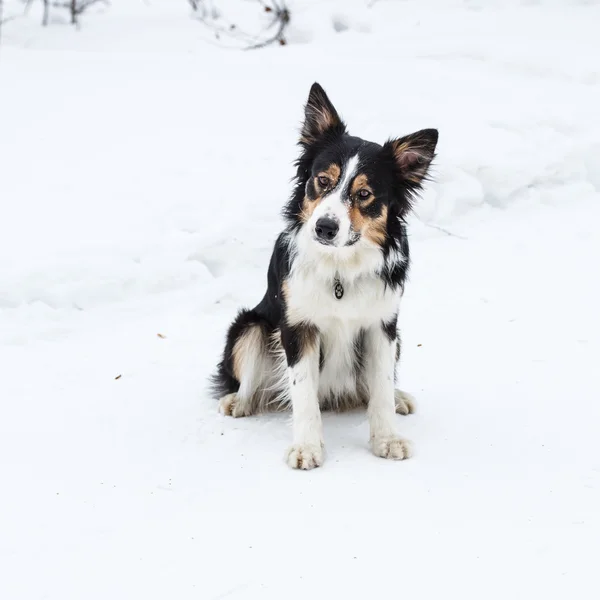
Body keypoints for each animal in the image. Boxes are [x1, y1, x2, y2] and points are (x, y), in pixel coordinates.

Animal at [210, 83, 436, 468]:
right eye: (322, 181)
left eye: (364, 194)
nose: (325, 227)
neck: (340, 267)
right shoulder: (297, 326)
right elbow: (303, 394)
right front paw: (307, 448)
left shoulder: (382, 326)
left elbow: (379, 388)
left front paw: (387, 439)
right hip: (249, 327)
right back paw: (237, 401)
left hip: (398, 338)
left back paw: (399, 397)